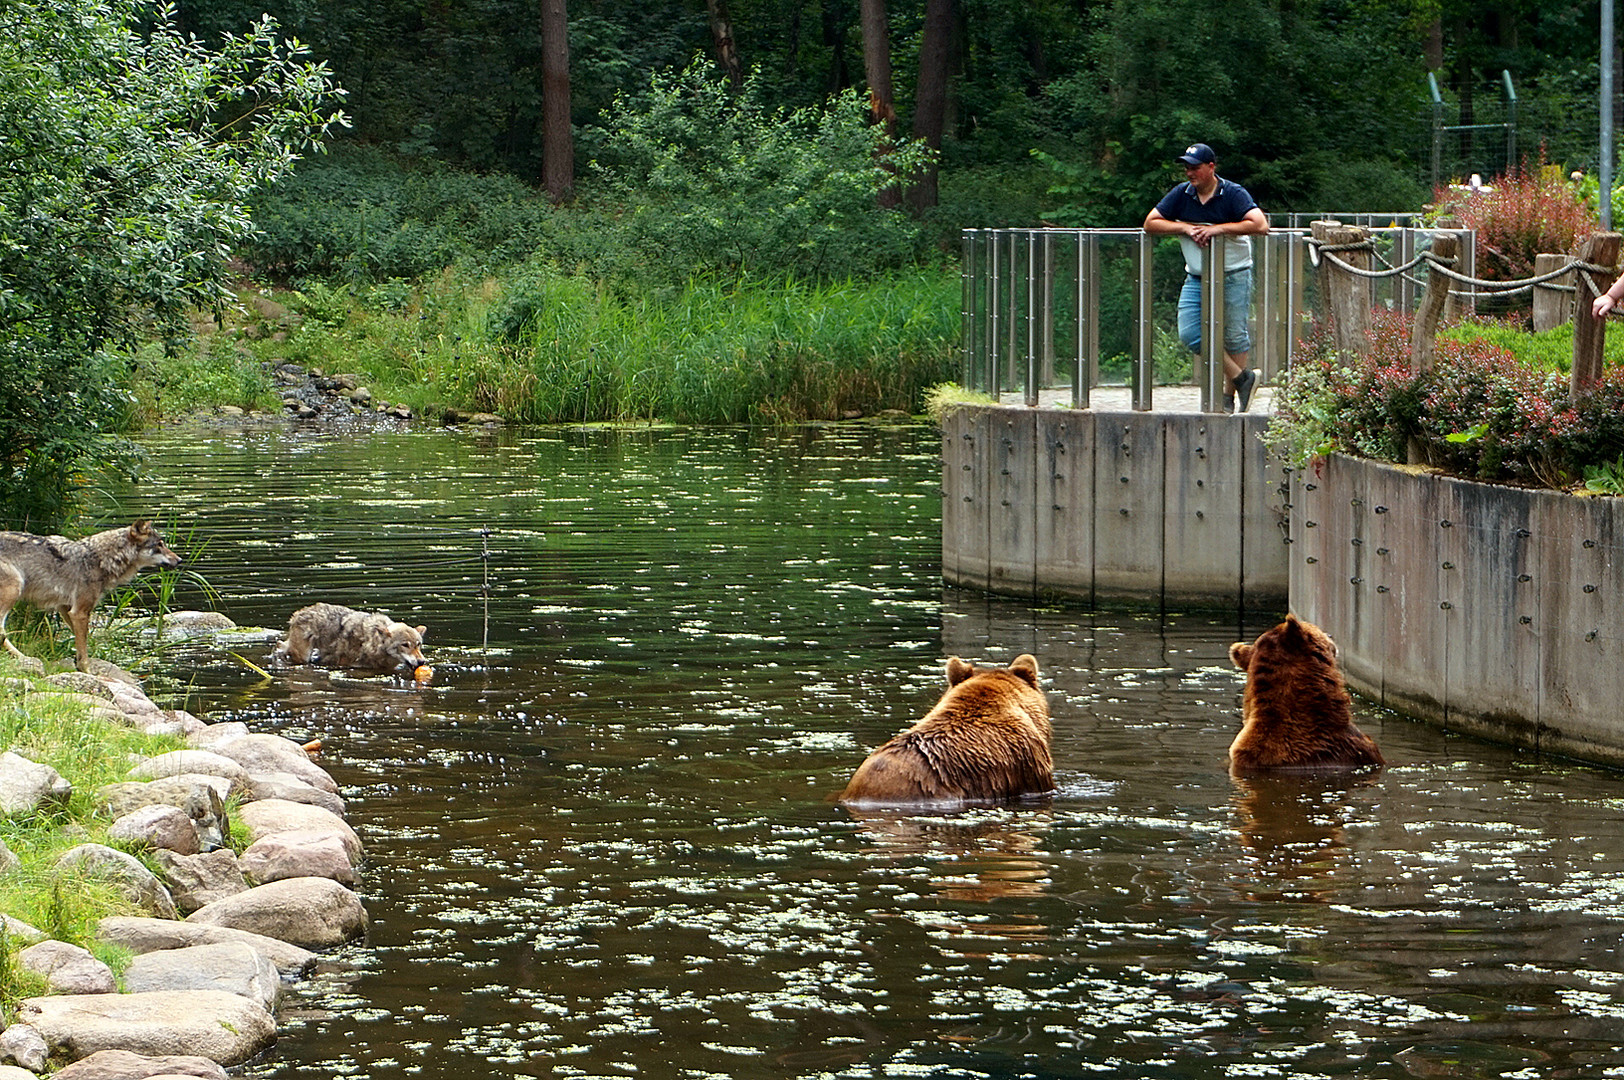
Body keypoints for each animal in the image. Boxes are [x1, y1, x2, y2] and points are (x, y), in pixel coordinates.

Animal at [0, 519, 182, 669]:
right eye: (159, 545)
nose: (179, 560)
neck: (101, 559)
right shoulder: (79, 612)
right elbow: (84, 652)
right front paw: (88, 672)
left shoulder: (66, 608)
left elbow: (81, 644)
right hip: (14, 589)